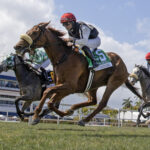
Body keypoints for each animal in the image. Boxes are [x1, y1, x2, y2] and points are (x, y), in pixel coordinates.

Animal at [13, 22, 143, 125]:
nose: (17, 46)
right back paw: (73, 110)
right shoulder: (62, 86)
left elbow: (47, 94)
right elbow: (51, 101)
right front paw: (61, 112)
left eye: (34, 33)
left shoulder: (70, 86)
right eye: (28, 31)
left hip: (113, 82)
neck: (63, 57)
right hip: (93, 85)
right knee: (93, 101)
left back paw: (84, 120)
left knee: (101, 103)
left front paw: (36, 115)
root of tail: (124, 66)